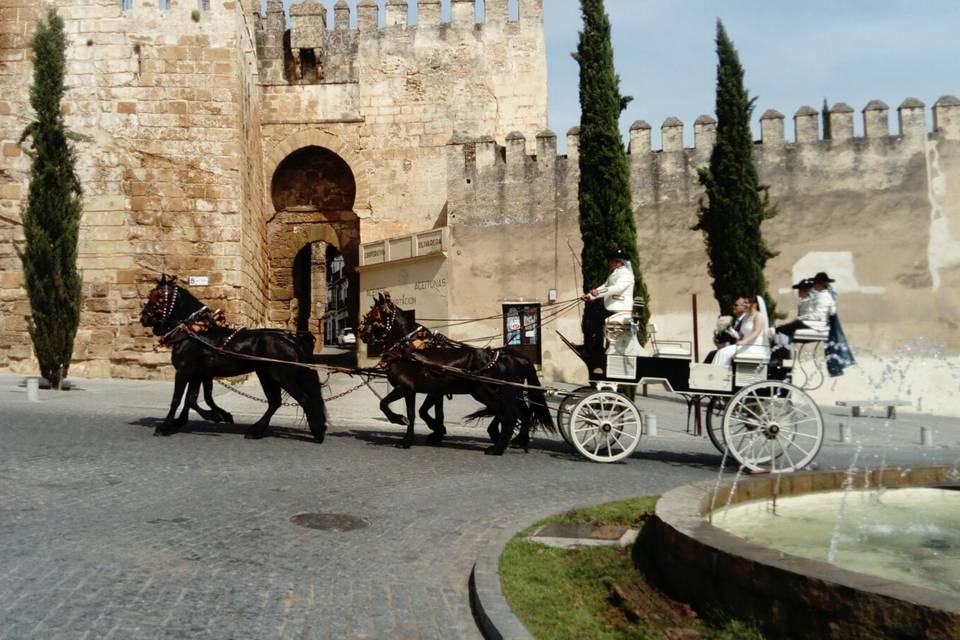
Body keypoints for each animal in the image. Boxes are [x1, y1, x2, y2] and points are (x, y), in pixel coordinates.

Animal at [138, 272, 326, 442]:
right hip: (266, 375)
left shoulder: (184, 371)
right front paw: (210, 416)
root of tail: (290, 338)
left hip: (280, 376)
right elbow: (192, 399)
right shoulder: (197, 374)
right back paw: (257, 430)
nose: (143, 318)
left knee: (303, 399)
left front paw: (165, 426)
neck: (194, 332)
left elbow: (177, 399)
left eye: (155, 297)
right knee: (275, 402)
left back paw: (317, 432)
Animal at [358, 292, 556, 452]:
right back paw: (515, 441)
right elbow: (420, 413)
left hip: (484, 391)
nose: (361, 333)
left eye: (373, 315)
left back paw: (499, 446)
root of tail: (502, 356)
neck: (409, 350)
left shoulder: (405, 387)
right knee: (520, 413)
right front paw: (430, 432)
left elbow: (389, 405)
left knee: (509, 414)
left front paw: (401, 424)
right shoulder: (424, 391)